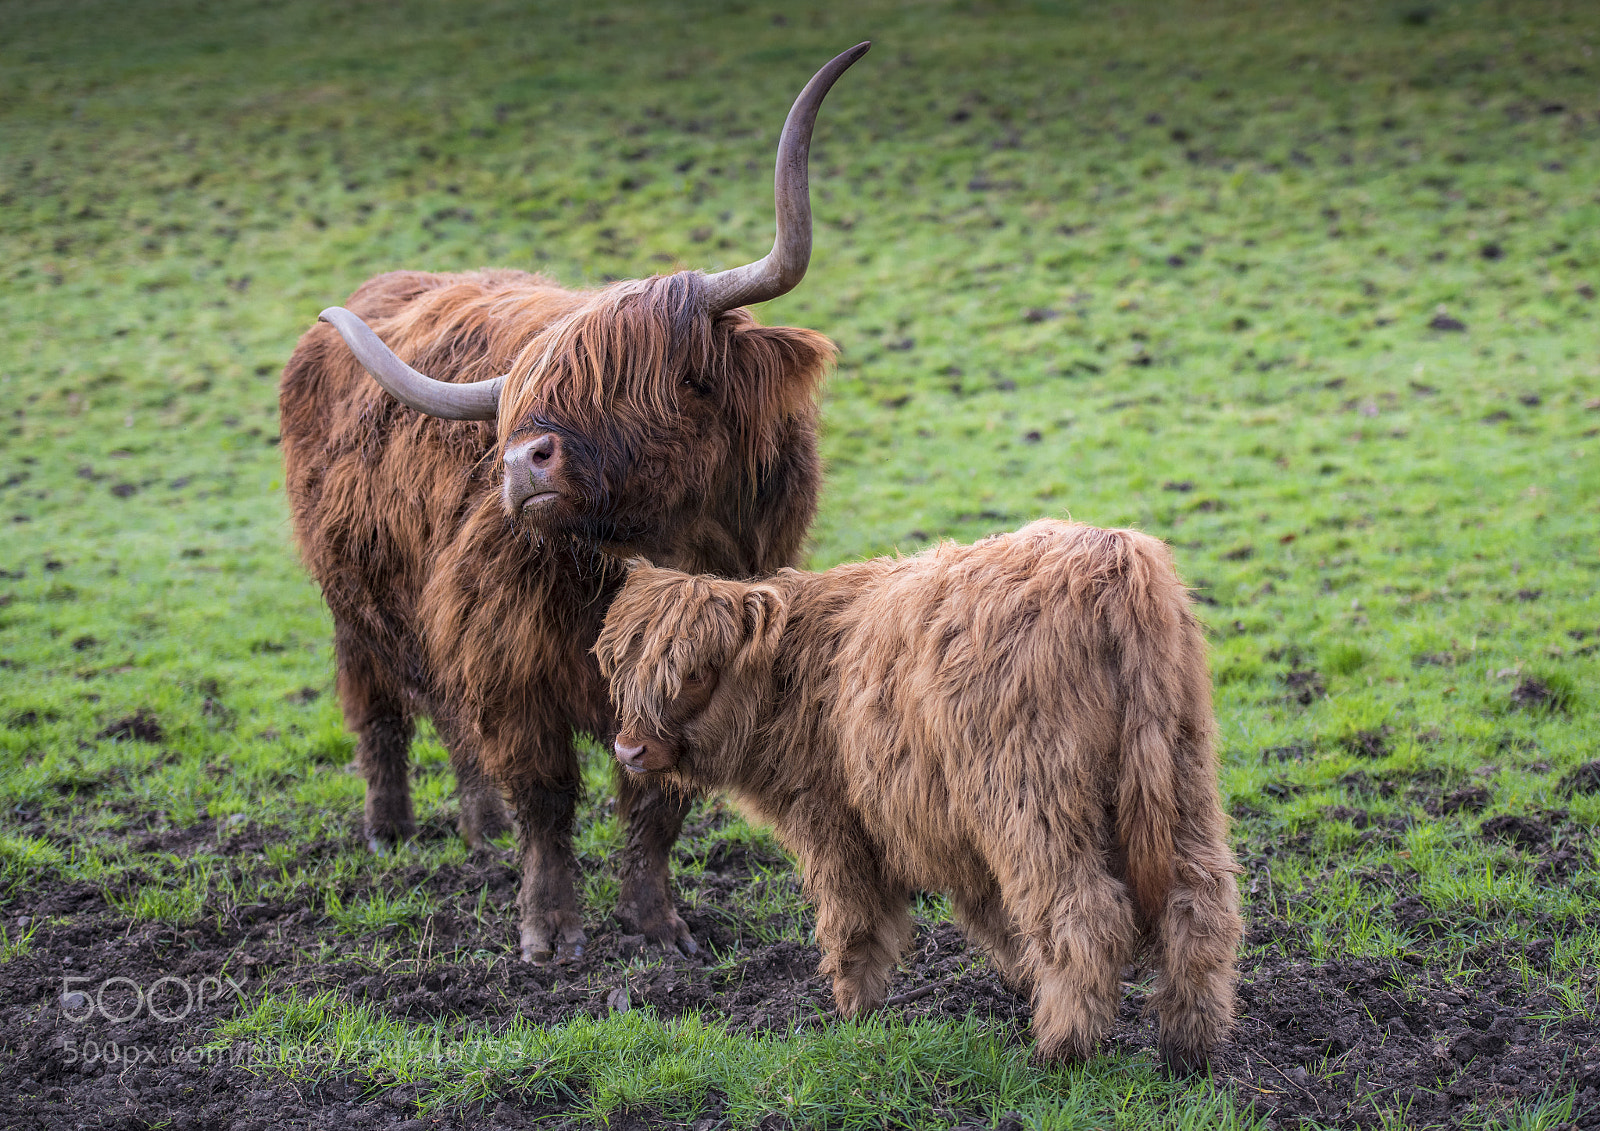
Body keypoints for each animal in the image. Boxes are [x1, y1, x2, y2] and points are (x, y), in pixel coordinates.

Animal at [278, 44, 869, 963]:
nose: (522, 461)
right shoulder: (509, 657)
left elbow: (655, 802)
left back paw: (479, 829)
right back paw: (389, 830)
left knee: (451, 723)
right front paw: (550, 928)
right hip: (354, 599)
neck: (646, 552)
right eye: (530, 398)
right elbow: (547, 795)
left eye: (653, 378)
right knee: (380, 709)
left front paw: (658, 924)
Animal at [594, 519, 1243, 1070]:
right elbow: (992, 918)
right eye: (624, 669)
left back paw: (1063, 1048)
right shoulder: (950, 831)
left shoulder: (832, 823)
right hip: (1181, 775)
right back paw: (1189, 1046)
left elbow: (852, 920)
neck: (794, 679)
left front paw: (853, 1012)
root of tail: (1110, 552)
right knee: (1199, 901)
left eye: (695, 673)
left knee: (1083, 911)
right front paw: (1019, 981)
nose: (629, 750)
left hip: (1032, 799)